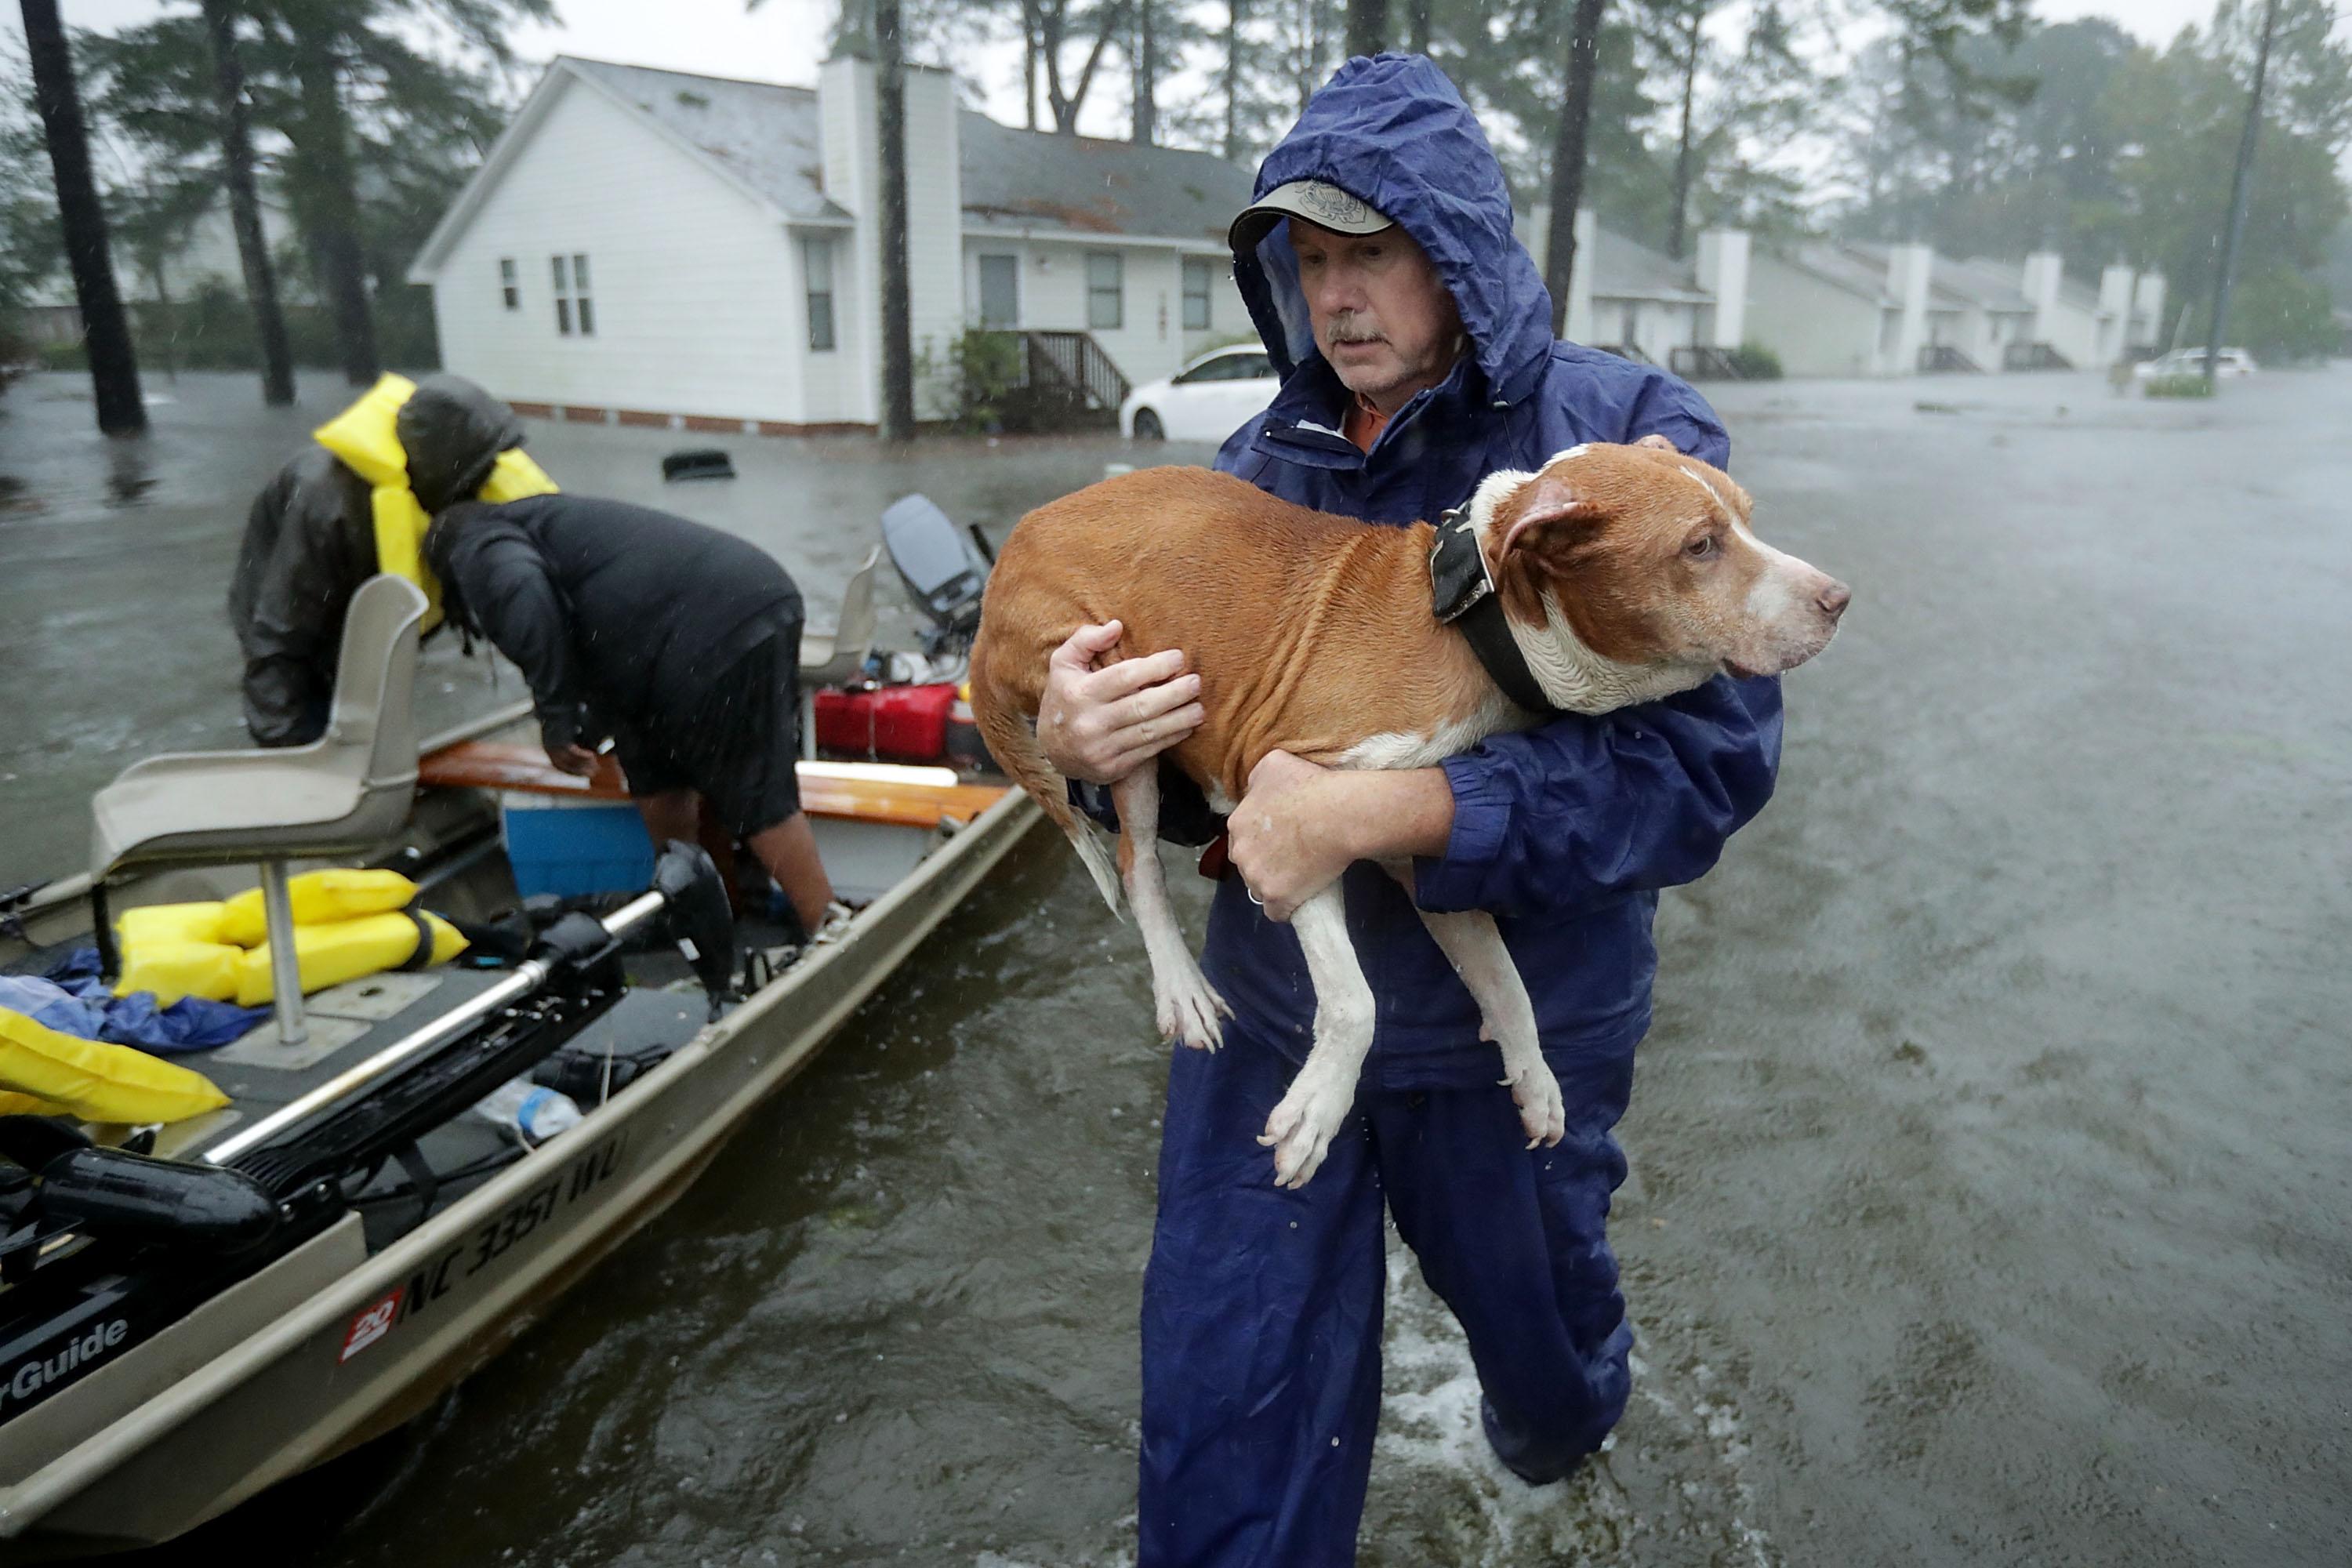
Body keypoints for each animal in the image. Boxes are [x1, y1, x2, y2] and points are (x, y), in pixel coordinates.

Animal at [964, 441, 1844, 1189]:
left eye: (1747, 518)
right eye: (1700, 547)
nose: (1839, 599)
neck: (1480, 626)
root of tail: (1007, 557)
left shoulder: (1429, 852)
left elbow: (1507, 984)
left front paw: (1536, 1079)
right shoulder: (1280, 806)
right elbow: (1357, 1002)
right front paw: (1316, 1111)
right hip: (1119, 693)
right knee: (1136, 862)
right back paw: (1183, 988)